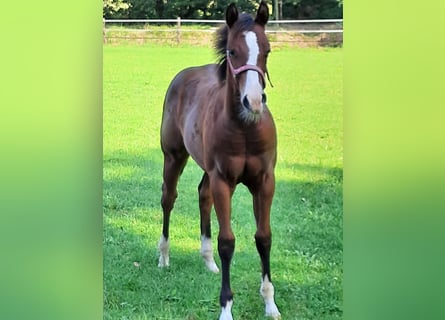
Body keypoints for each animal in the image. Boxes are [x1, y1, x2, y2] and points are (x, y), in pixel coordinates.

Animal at [158, 1, 280, 318]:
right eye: (232, 52)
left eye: (267, 50)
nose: (254, 101)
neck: (245, 129)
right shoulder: (223, 180)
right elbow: (227, 242)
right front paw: (226, 307)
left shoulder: (264, 181)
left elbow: (264, 237)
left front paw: (270, 303)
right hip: (174, 156)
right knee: (168, 198)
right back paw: (163, 257)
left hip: (207, 169)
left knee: (203, 194)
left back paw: (208, 260)